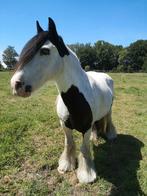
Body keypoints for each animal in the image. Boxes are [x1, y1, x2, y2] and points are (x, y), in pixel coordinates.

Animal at [10, 17, 116, 184]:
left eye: (45, 50)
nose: (15, 84)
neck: (77, 98)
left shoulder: (85, 128)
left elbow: (84, 149)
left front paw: (86, 175)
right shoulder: (64, 125)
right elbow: (69, 144)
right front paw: (66, 165)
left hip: (110, 109)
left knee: (109, 119)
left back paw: (111, 136)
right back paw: (95, 137)